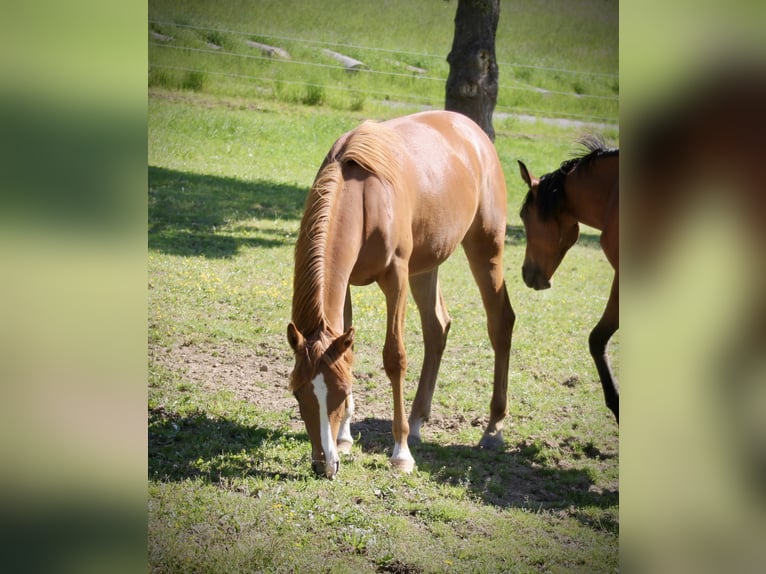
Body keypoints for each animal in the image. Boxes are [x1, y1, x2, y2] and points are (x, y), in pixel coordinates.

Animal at [287, 110, 516, 479]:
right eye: (297, 392)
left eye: (340, 392)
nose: (323, 465)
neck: (364, 197)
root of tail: (474, 132)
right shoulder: (346, 284)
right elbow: (350, 352)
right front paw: (345, 439)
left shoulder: (396, 277)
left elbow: (394, 358)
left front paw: (401, 453)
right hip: (425, 267)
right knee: (437, 328)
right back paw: (418, 420)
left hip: (486, 248)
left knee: (500, 323)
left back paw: (493, 429)